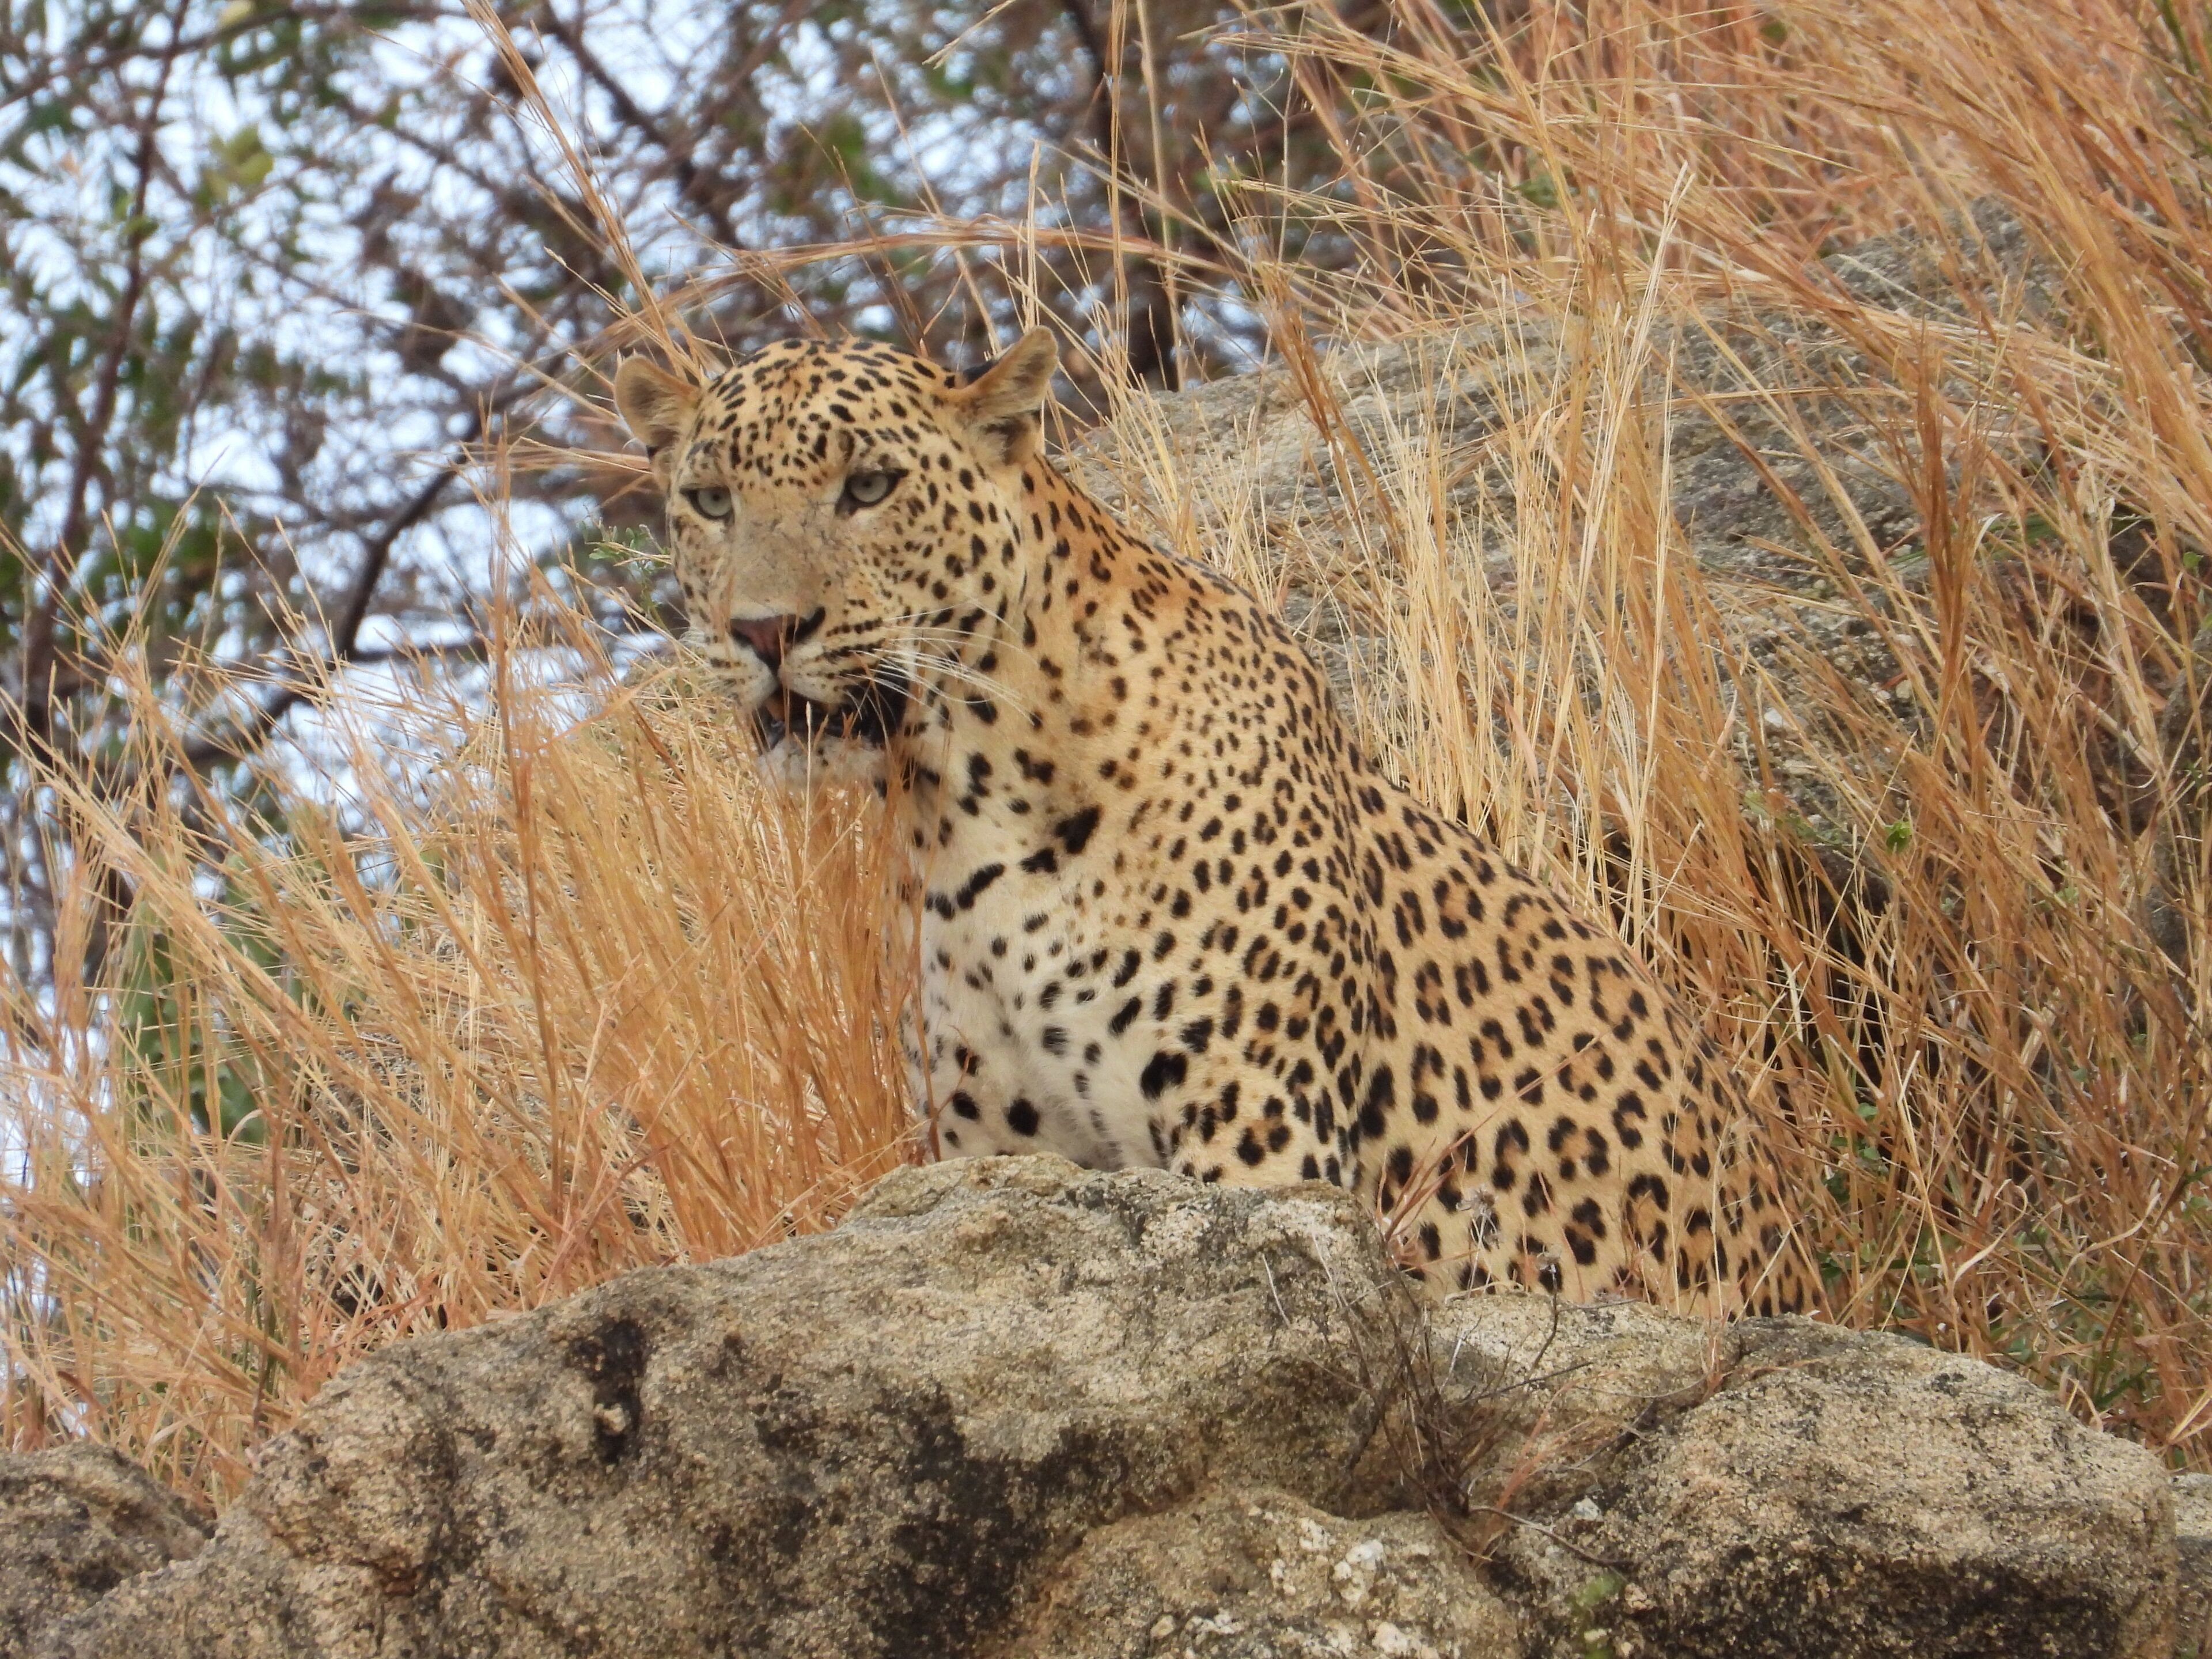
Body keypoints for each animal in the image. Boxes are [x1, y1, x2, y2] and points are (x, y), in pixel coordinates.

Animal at [614, 328, 1817, 1317]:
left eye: (870, 485)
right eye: (710, 500)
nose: (763, 632)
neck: (959, 801)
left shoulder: (1260, 1137)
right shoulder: (998, 1156)